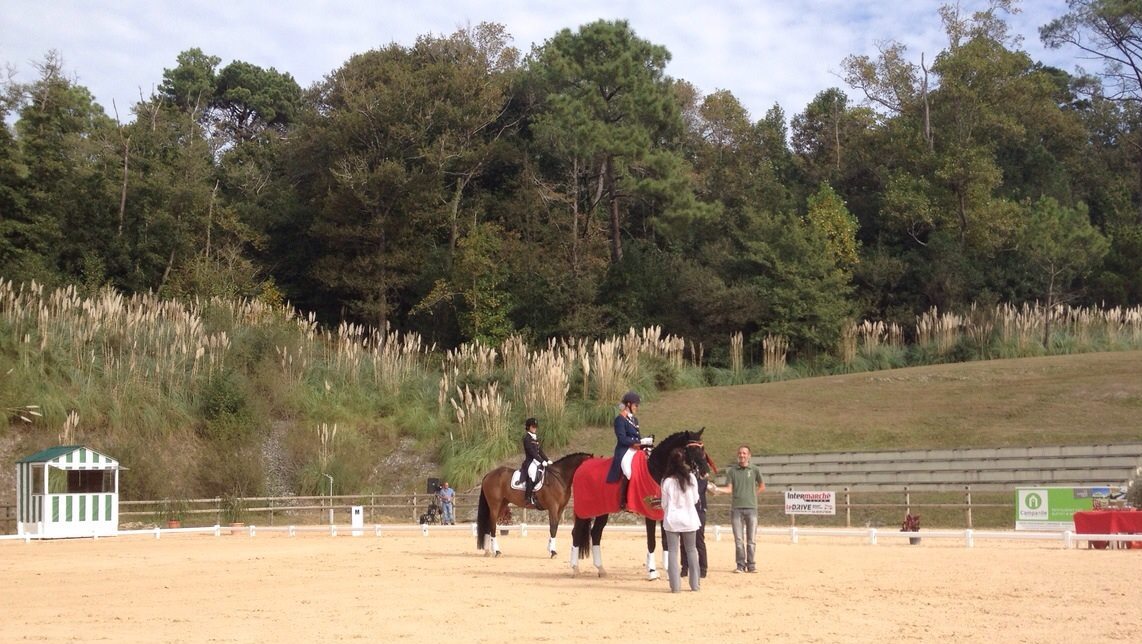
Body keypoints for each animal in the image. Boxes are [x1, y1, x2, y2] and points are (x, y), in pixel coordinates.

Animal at [568, 429, 708, 575]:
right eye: (692, 449)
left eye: (702, 448)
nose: (705, 471)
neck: (655, 469)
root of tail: (583, 465)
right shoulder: (650, 512)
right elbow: (652, 542)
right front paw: (652, 571)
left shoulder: (664, 513)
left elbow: (666, 542)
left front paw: (669, 570)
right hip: (584, 510)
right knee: (576, 533)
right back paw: (575, 568)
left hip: (602, 510)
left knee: (595, 533)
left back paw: (601, 569)